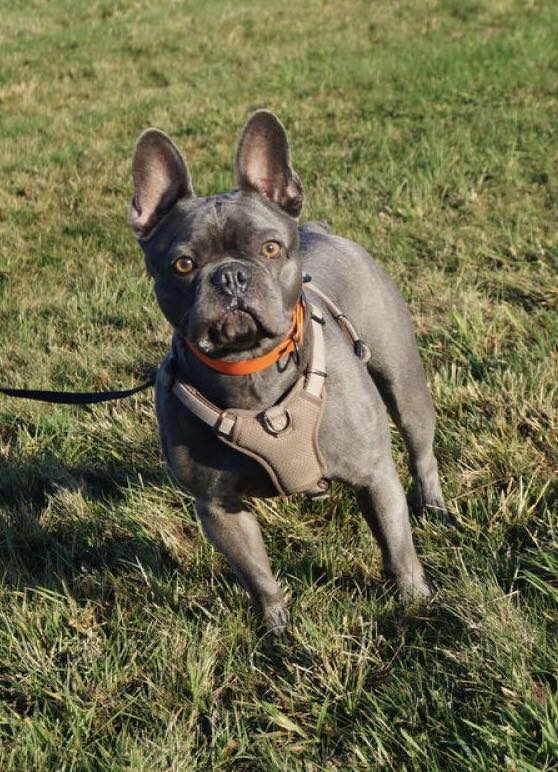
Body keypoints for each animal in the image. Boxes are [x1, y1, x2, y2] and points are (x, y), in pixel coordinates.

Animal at [128, 110, 448, 634]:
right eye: (183, 264)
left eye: (271, 248)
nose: (230, 275)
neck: (250, 372)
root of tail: (319, 228)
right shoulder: (220, 509)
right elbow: (258, 575)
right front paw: (277, 630)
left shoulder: (375, 476)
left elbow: (397, 546)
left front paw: (415, 601)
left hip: (404, 385)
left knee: (421, 451)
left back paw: (435, 507)